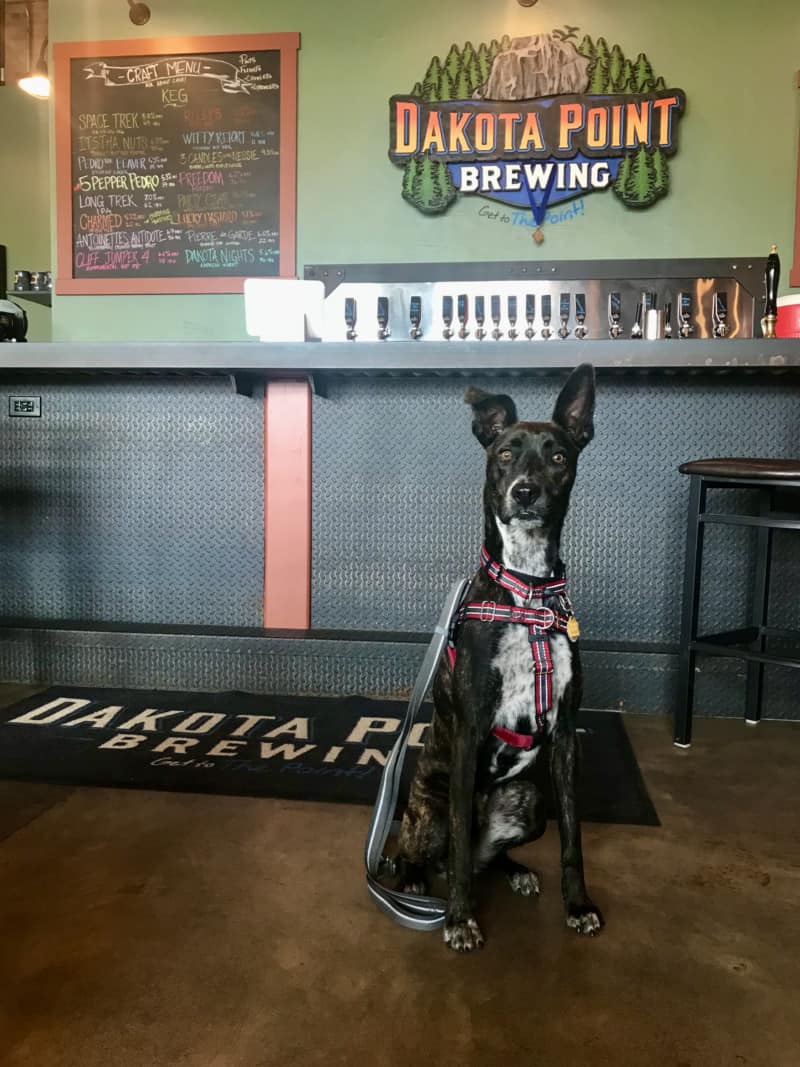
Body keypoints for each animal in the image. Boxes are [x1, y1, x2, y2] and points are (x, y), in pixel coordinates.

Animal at [398, 364, 605, 951]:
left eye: (558, 456)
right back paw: (418, 881)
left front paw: (578, 905)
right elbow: (461, 849)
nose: (526, 492)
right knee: (430, 854)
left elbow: (573, 838)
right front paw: (459, 919)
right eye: (506, 453)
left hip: (526, 800)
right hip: (430, 811)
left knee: (483, 856)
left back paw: (512, 870)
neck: (527, 591)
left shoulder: (565, 737)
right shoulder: (470, 730)